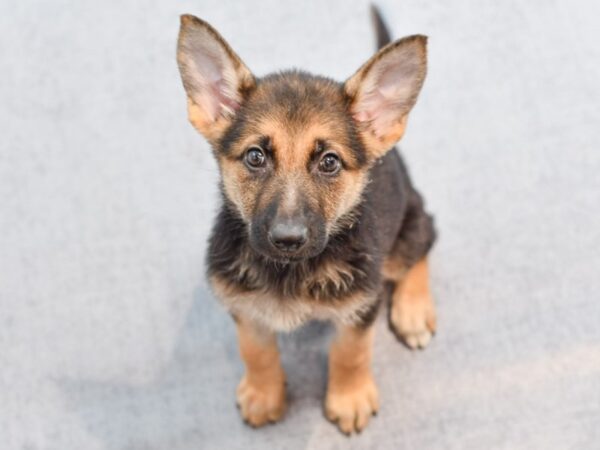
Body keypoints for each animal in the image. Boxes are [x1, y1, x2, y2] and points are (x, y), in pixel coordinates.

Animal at [176, 6, 434, 436]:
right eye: (255, 157)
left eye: (329, 162)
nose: (287, 239)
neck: (291, 272)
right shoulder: (244, 306)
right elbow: (255, 350)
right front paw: (264, 393)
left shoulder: (360, 305)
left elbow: (351, 352)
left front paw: (348, 397)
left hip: (408, 224)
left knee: (424, 244)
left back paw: (413, 311)